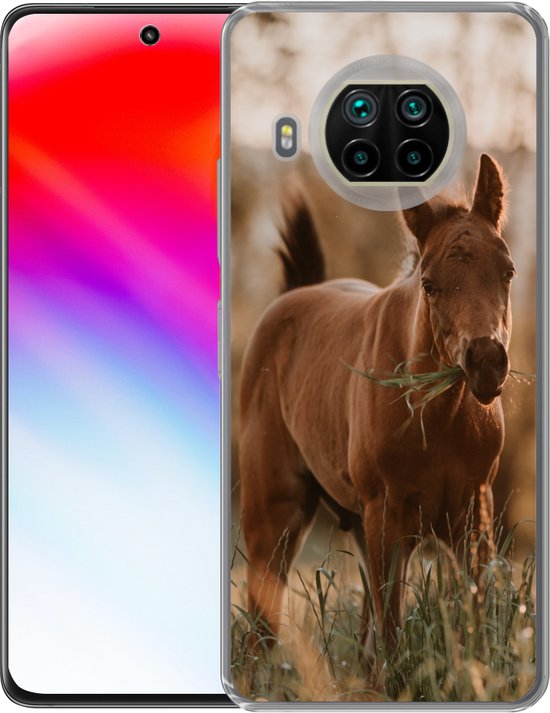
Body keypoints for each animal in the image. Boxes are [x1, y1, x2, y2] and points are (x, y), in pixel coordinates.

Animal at [238, 154, 514, 654]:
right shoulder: (389, 518)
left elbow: (474, 624)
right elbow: (392, 636)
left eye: (508, 272)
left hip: (362, 527)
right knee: (260, 632)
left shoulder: (473, 519)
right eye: (429, 284)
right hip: (275, 518)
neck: (438, 419)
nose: (486, 362)